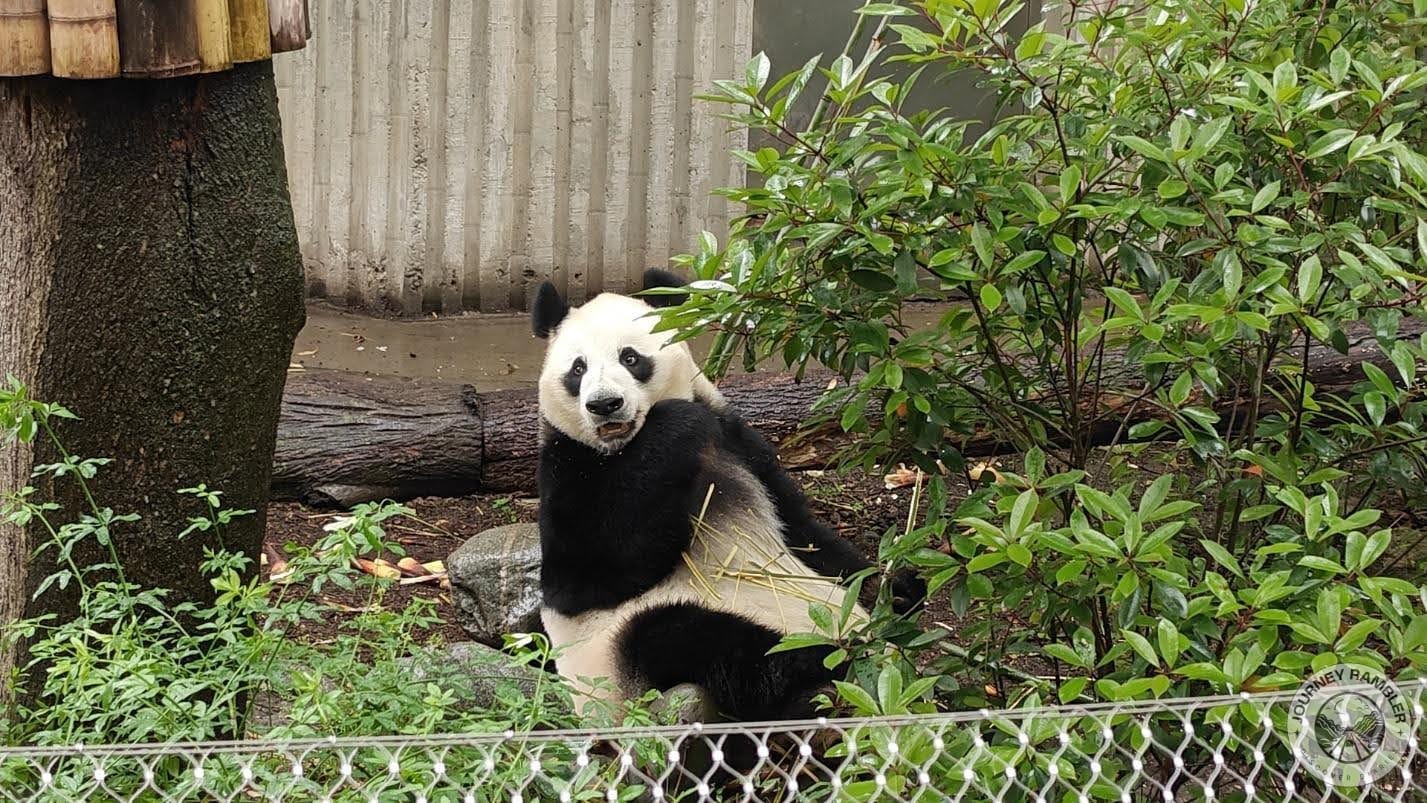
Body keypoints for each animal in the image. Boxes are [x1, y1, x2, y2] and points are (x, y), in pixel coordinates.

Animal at [531, 268, 923, 722]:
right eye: (577, 369)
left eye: (630, 358)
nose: (604, 404)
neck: (622, 448)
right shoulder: (568, 464)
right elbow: (584, 576)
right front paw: (675, 424)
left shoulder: (737, 445)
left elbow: (803, 531)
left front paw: (892, 582)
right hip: (617, 657)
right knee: (690, 640)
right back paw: (830, 658)